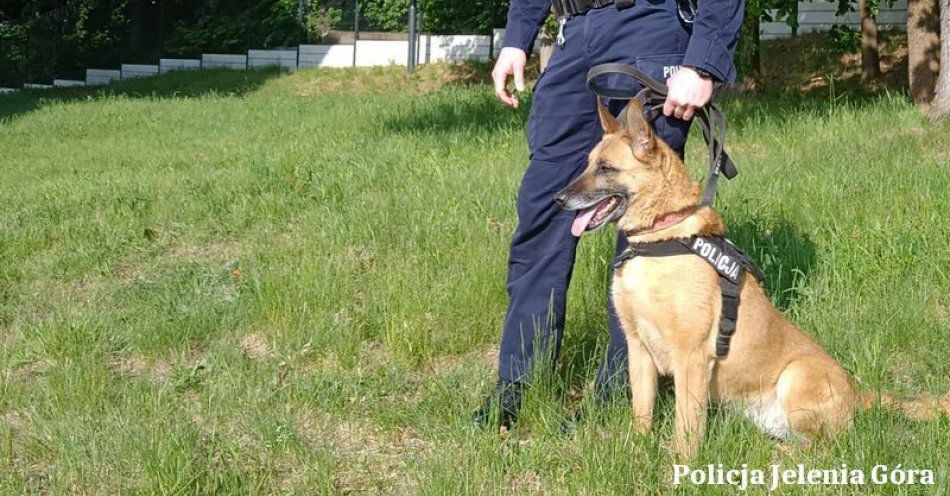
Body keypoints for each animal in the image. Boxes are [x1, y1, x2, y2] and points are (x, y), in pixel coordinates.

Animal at [556, 99, 950, 460]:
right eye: (588, 163)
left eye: (606, 168)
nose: (559, 199)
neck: (660, 235)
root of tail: (857, 394)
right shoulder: (638, 348)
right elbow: (642, 410)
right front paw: (638, 449)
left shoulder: (691, 356)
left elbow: (687, 423)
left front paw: (681, 467)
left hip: (797, 378)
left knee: (829, 447)